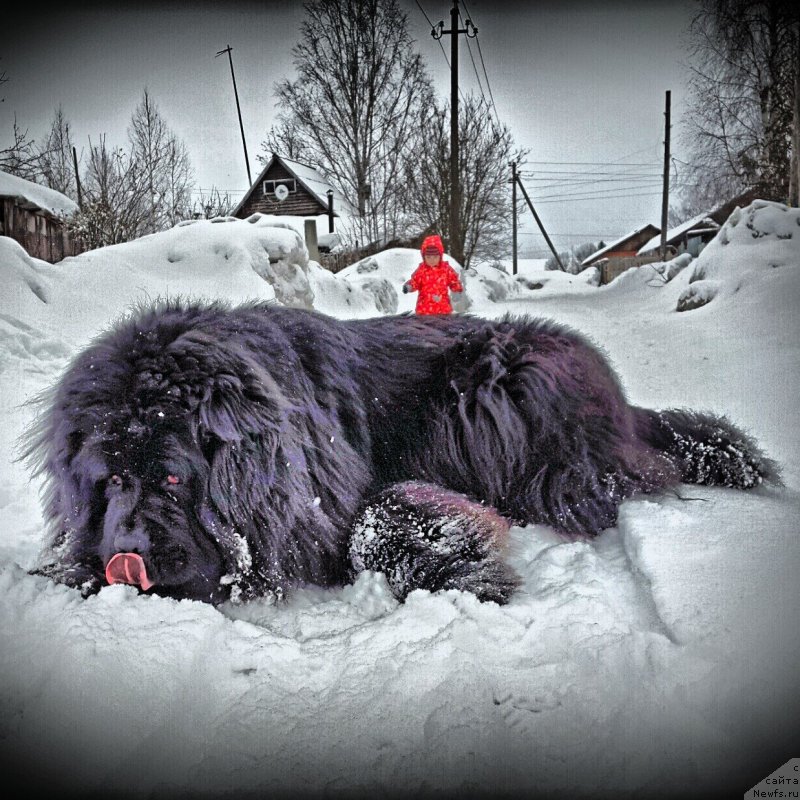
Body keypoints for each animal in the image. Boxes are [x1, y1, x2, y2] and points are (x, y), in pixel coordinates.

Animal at [23, 304, 776, 604]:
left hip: (492, 385)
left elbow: (375, 521)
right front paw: (70, 571)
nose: (128, 555)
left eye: (177, 476)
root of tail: (620, 399)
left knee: (608, 479)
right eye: (109, 480)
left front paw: (464, 568)